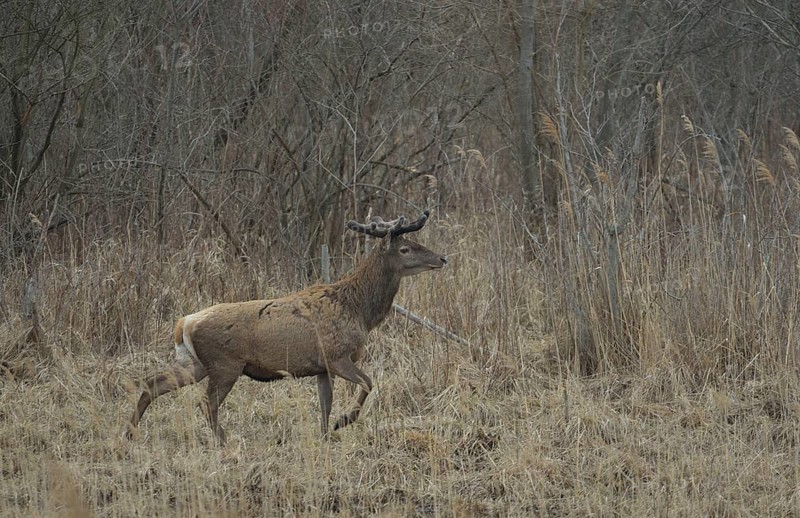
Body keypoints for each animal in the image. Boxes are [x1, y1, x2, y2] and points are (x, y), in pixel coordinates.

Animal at [126, 210, 446, 443]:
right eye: (405, 248)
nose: (442, 257)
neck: (359, 311)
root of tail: (184, 323)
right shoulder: (336, 354)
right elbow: (368, 382)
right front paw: (343, 422)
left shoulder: (321, 366)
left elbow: (326, 404)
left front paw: (325, 435)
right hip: (224, 364)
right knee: (207, 402)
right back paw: (223, 439)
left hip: (196, 363)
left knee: (154, 382)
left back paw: (130, 432)